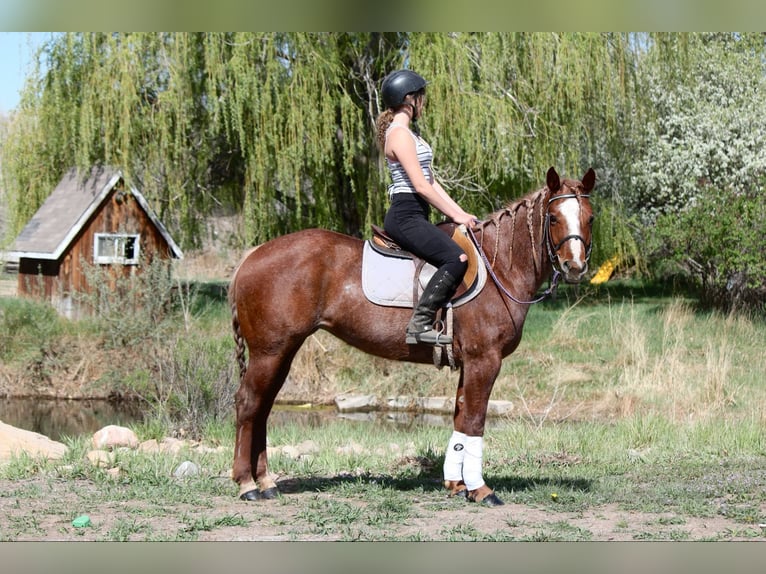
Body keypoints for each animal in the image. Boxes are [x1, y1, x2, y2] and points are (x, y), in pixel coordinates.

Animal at [228, 166, 595, 506]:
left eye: (590, 217)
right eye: (553, 217)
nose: (574, 266)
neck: (499, 268)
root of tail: (252, 255)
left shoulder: (469, 364)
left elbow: (461, 417)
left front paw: (456, 484)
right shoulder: (484, 360)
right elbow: (475, 420)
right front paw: (480, 489)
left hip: (282, 352)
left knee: (263, 406)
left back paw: (266, 482)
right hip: (270, 351)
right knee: (249, 403)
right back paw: (247, 484)